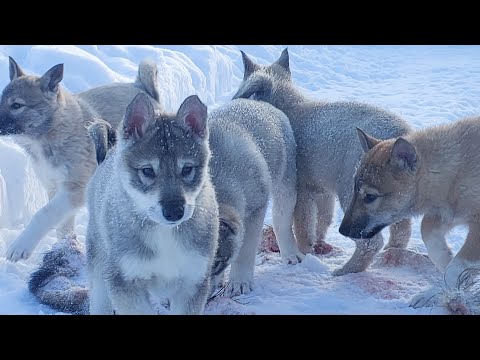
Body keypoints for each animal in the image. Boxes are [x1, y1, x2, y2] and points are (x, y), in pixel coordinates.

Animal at [87, 93, 218, 316]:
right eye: (147, 171)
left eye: (187, 169)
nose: (174, 211)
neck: (164, 234)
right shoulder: (125, 280)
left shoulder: (193, 281)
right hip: (100, 268)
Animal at [233, 49, 412, 274]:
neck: (290, 107)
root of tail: (398, 134)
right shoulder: (323, 191)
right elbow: (322, 221)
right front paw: (317, 244)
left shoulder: (302, 191)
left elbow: (303, 227)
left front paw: (304, 252)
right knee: (402, 228)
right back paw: (392, 252)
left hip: (352, 192)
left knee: (370, 242)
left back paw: (347, 270)